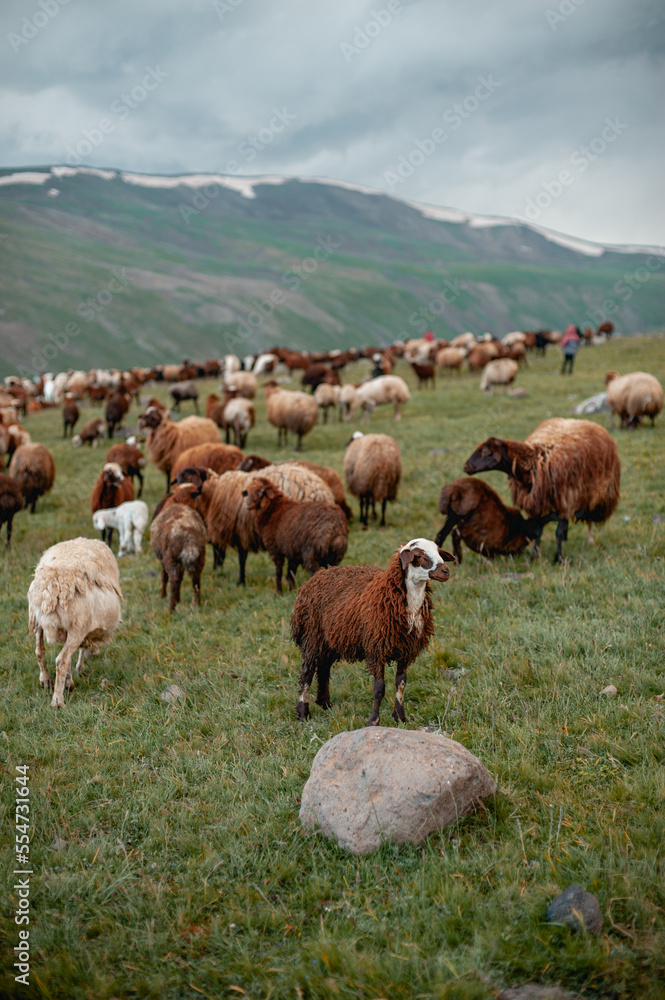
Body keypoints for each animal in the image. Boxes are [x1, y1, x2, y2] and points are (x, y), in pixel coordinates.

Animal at [28, 538, 122, 708]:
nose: (95, 652)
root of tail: (50, 588)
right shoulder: (83, 628)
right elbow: (78, 652)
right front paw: (79, 670)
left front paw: (69, 680)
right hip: (76, 627)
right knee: (61, 660)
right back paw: (57, 701)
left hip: (37, 621)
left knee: (39, 651)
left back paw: (45, 680)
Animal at [291, 538, 454, 725]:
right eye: (418, 556)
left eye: (439, 552)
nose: (446, 571)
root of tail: (318, 575)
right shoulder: (376, 649)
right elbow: (379, 688)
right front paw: (373, 720)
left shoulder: (405, 650)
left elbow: (401, 683)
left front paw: (400, 717)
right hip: (312, 636)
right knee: (307, 672)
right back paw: (303, 712)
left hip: (331, 639)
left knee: (324, 668)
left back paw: (325, 703)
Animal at [463, 418, 621, 563]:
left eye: (486, 452)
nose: (466, 466)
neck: (533, 462)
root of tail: (588, 422)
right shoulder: (539, 504)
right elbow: (539, 531)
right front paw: (534, 556)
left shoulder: (564, 502)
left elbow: (557, 532)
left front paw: (558, 559)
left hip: (595, 494)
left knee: (589, 517)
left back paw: (590, 540)